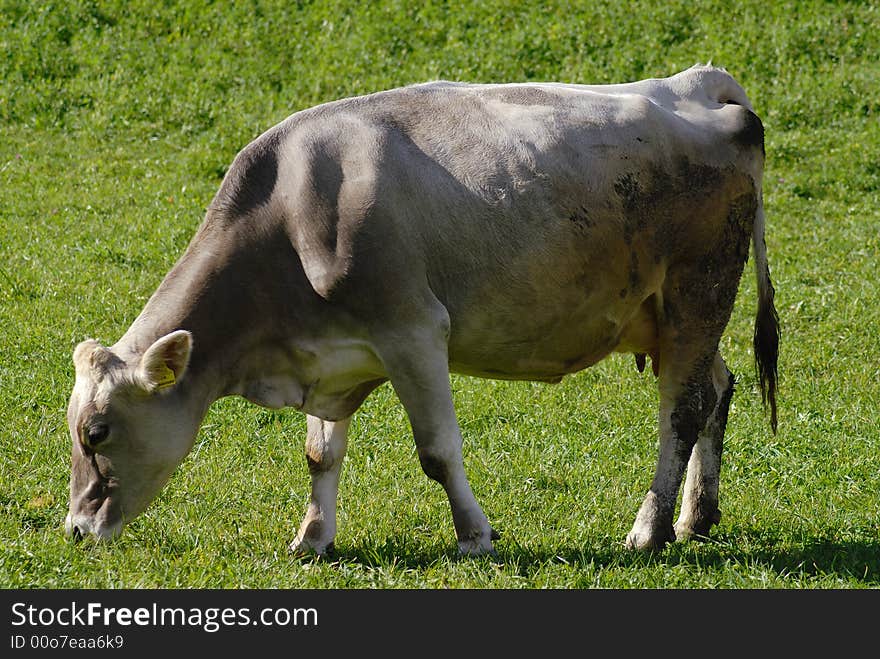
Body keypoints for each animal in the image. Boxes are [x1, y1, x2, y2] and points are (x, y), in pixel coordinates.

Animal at [67, 64, 776, 556]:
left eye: (96, 433)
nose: (74, 528)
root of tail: (700, 83)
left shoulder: (412, 330)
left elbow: (436, 451)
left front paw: (474, 535)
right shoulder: (335, 353)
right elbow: (321, 453)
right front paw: (314, 538)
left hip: (699, 288)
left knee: (681, 408)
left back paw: (650, 529)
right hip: (667, 314)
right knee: (718, 387)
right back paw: (696, 516)